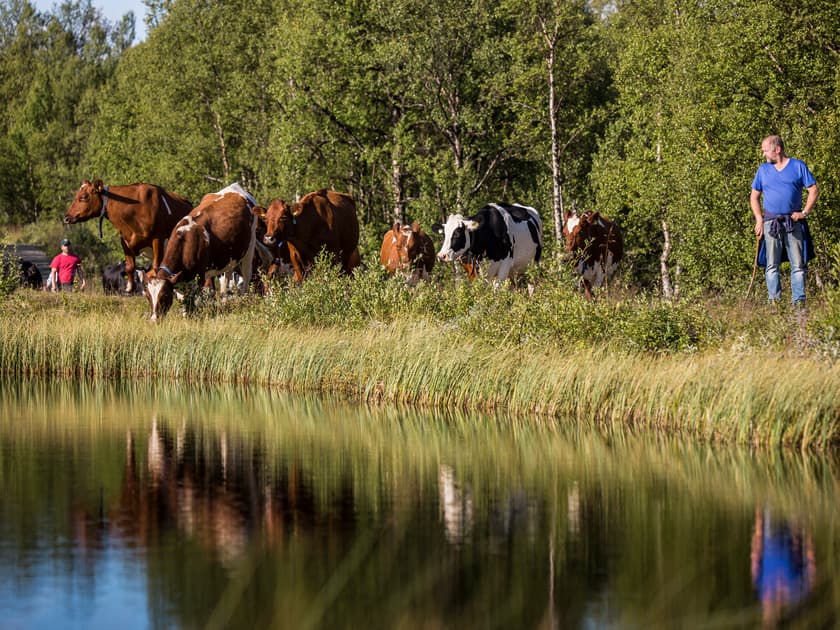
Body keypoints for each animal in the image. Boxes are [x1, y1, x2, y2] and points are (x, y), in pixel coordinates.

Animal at [64, 180, 192, 294]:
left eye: (83, 197)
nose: (66, 217)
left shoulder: (158, 238)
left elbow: (156, 266)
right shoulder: (125, 240)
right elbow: (130, 266)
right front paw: (130, 288)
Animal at [143, 183, 258, 320]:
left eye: (164, 295)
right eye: (148, 296)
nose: (154, 320)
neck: (186, 240)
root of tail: (236, 187)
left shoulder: (199, 278)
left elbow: (191, 299)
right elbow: (182, 298)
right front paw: (185, 316)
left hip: (250, 246)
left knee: (246, 275)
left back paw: (244, 301)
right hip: (230, 257)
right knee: (226, 279)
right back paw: (225, 303)